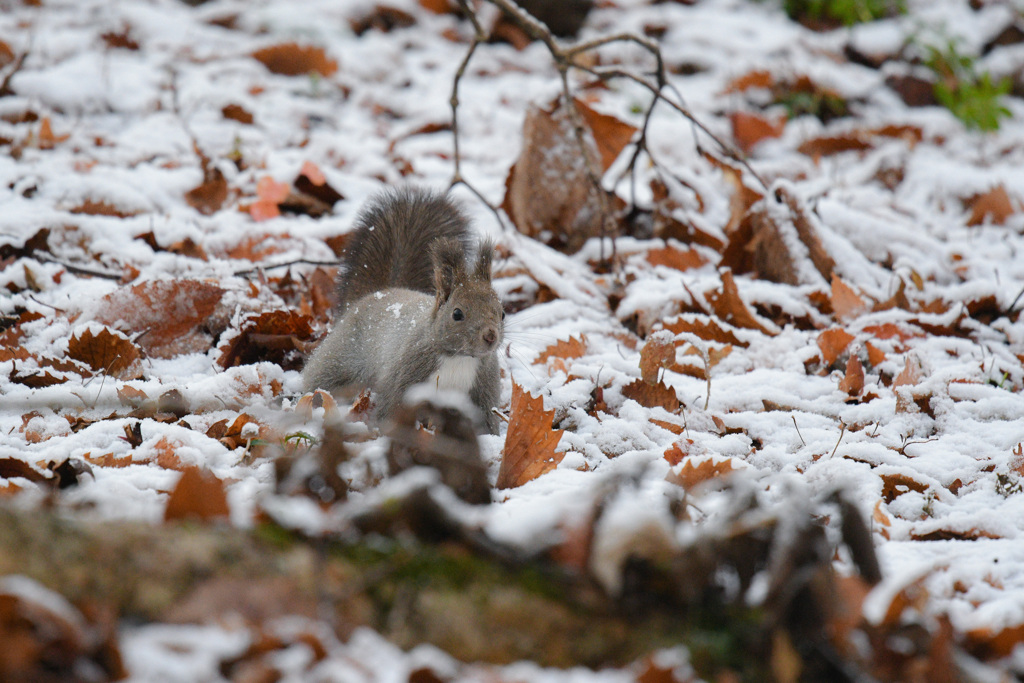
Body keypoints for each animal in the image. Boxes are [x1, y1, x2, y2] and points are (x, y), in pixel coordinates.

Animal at [299, 187, 503, 432]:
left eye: (502, 313)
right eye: (457, 313)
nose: (490, 336)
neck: (459, 358)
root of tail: (379, 293)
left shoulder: (484, 390)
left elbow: (486, 422)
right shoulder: (404, 375)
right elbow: (392, 406)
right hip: (340, 357)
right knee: (321, 381)